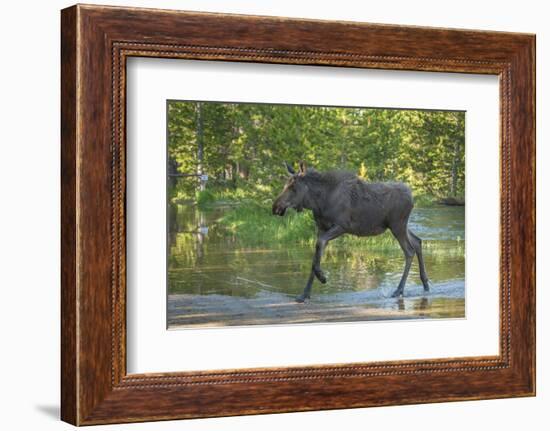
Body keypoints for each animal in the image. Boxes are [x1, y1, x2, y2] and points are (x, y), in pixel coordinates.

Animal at [274, 160, 434, 302]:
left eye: (293, 187)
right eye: (285, 185)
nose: (275, 206)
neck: (318, 203)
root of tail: (412, 197)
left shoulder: (342, 226)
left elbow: (319, 246)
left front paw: (323, 277)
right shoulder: (321, 228)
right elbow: (315, 257)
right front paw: (304, 294)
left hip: (397, 225)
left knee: (409, 250)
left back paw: (399, 290)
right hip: (401, 226)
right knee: (418, 241)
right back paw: (425, 284)